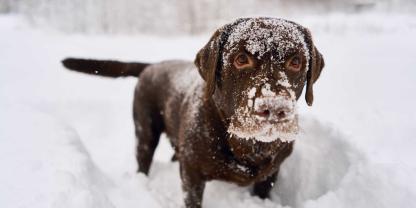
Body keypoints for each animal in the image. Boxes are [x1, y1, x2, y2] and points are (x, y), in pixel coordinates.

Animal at [61, 17, 324, 208]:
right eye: (241, 59)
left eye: (296, 62)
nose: (275, 109)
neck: (246, 144)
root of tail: (152, 66)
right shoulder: (192, 174)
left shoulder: (270, 175)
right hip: (145, 130)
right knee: (143, 159)